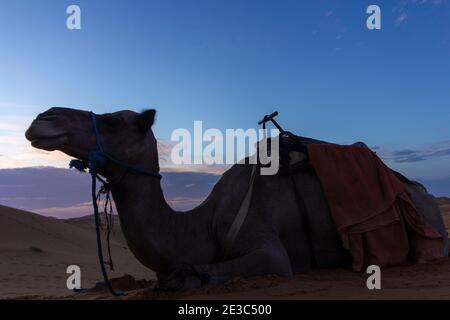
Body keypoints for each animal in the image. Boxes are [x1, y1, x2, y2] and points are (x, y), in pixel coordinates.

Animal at [26, 107, 448, 290]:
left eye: (113, 120)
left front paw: (188, 277)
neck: (202, 224)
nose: (43, 118)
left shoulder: (271, 252)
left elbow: (202, 271)